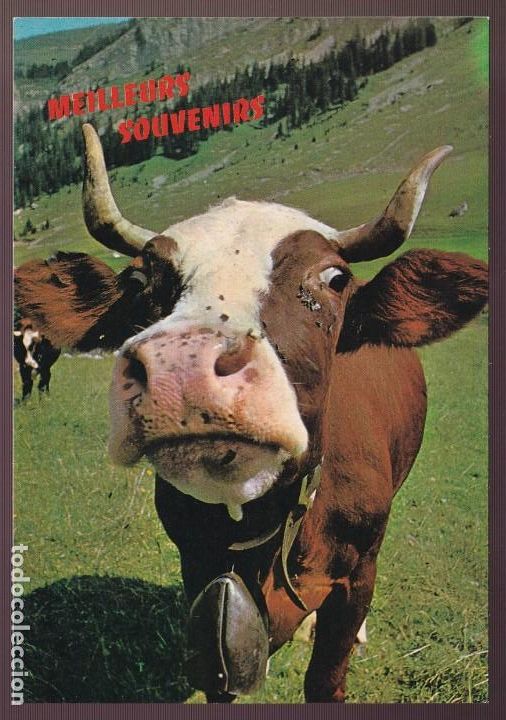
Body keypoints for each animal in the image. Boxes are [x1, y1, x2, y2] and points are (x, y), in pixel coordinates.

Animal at [14, 124, 487, 703]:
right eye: (138, 283)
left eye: (334, 279)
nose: (182, 366)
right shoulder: (202, 580)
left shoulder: (359, 573)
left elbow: (326, 677)